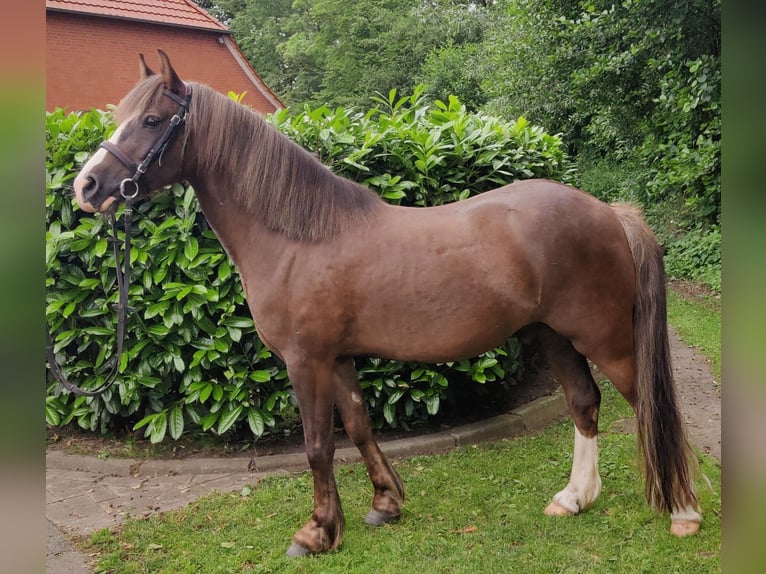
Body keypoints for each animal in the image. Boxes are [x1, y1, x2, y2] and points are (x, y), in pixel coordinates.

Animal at [72, 50, 704, 560]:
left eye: (151, 120)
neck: (298, 237)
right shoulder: (338, 358)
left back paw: (684, 512)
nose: (87, 187)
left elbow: (318, 446)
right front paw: (384, 504)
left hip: (605, 337)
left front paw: (316, 533)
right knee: (583, 402)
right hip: (555, 335)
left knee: (647, 403)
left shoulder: (306, 361)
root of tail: (609, 212)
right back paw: (574, 499)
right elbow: (358, 427)